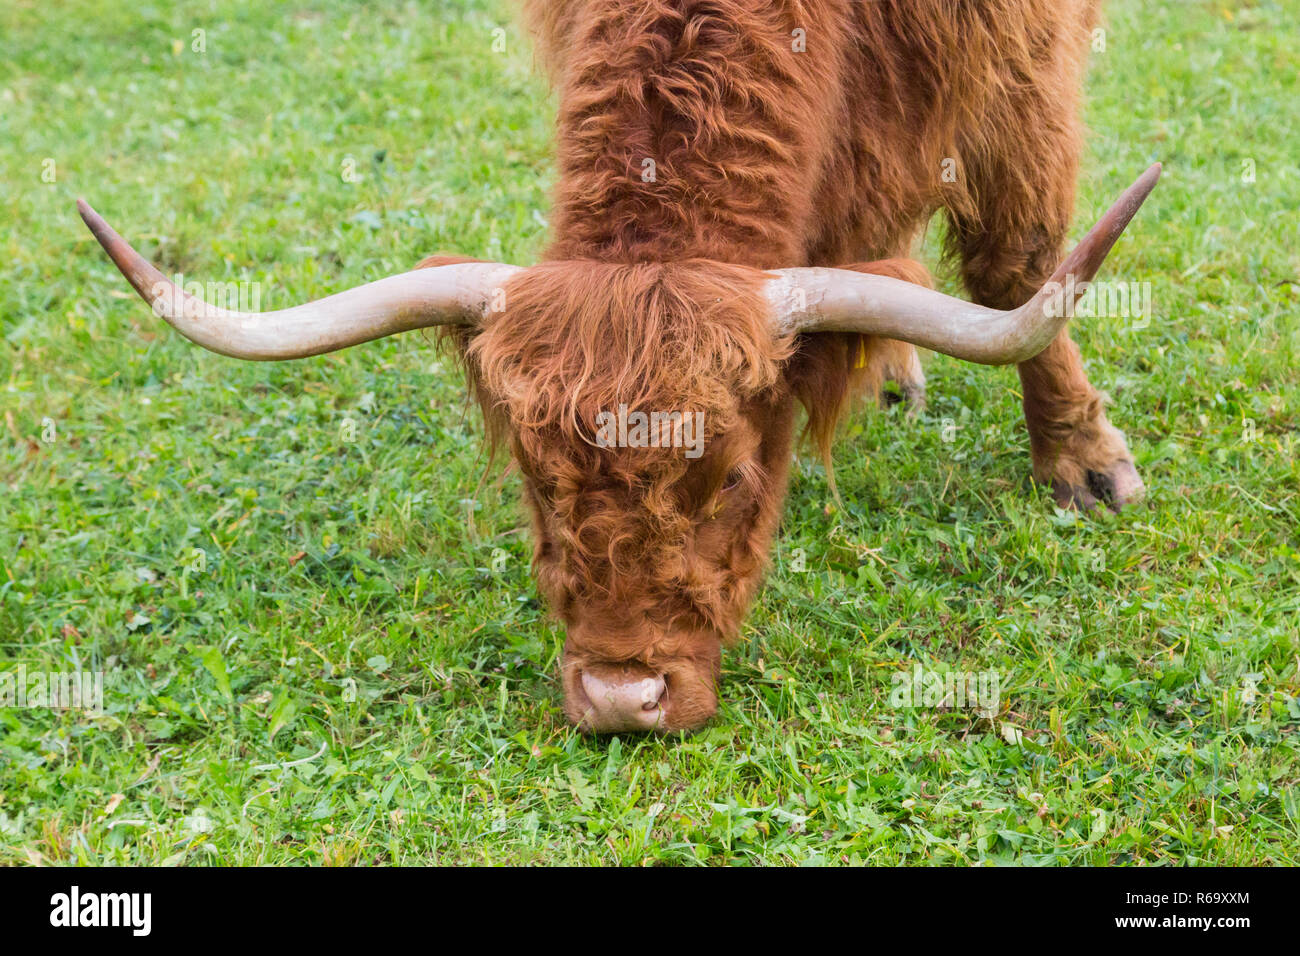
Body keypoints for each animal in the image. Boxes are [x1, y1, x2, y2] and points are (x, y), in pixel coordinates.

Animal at [78, 0, 1159, 733]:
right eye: (534, 482)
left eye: (733, 477)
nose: (619, 696)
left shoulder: (1020, 62)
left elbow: (1020, 262)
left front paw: (1082, 460)